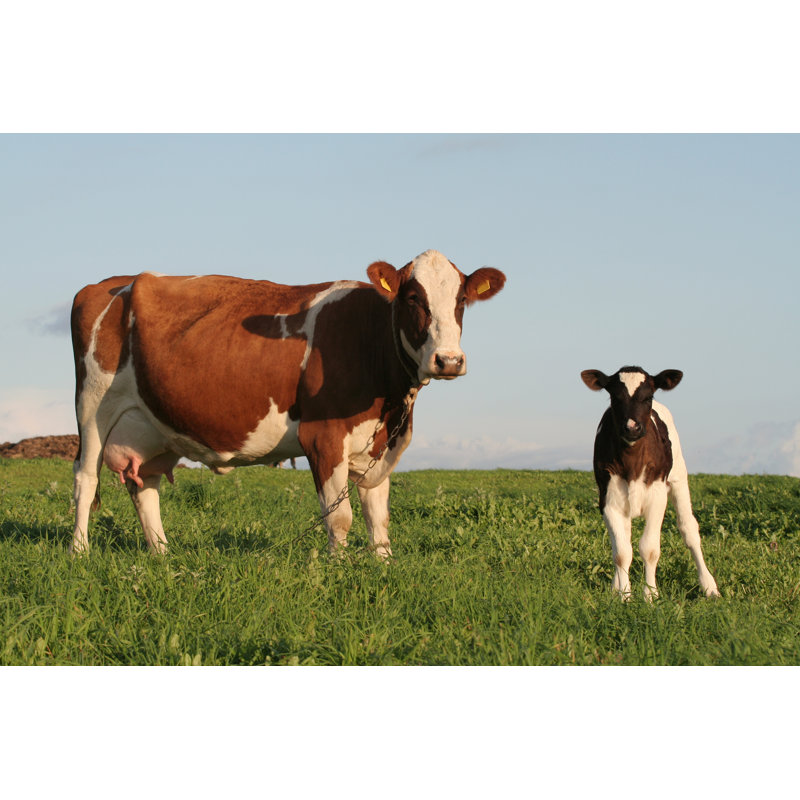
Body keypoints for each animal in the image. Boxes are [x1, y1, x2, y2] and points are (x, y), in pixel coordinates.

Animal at [70, 249, 505, 557]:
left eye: (461, 300)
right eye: (413, 298)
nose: (449, 360)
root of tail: (109, 284)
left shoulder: (380, 446)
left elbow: (378, 519)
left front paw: (382, 567)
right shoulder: (323, 437)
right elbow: (340, 517)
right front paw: (338, 571)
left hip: (151, 426)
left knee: (144, 485)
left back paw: (161, 554)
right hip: (92, 407)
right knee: (85, 478)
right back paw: (80, 552)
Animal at [581, 366, 720, 600]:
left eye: (648, 397)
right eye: (614, 397)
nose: (631, 428)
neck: (632, 462)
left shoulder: (657, 498)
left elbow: (650, 549)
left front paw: (650, 595)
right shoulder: (608, 500)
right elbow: (621, 551)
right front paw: (624, 594)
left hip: (679, 476)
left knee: (689, 530)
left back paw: (709, 586)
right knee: (623, 537)